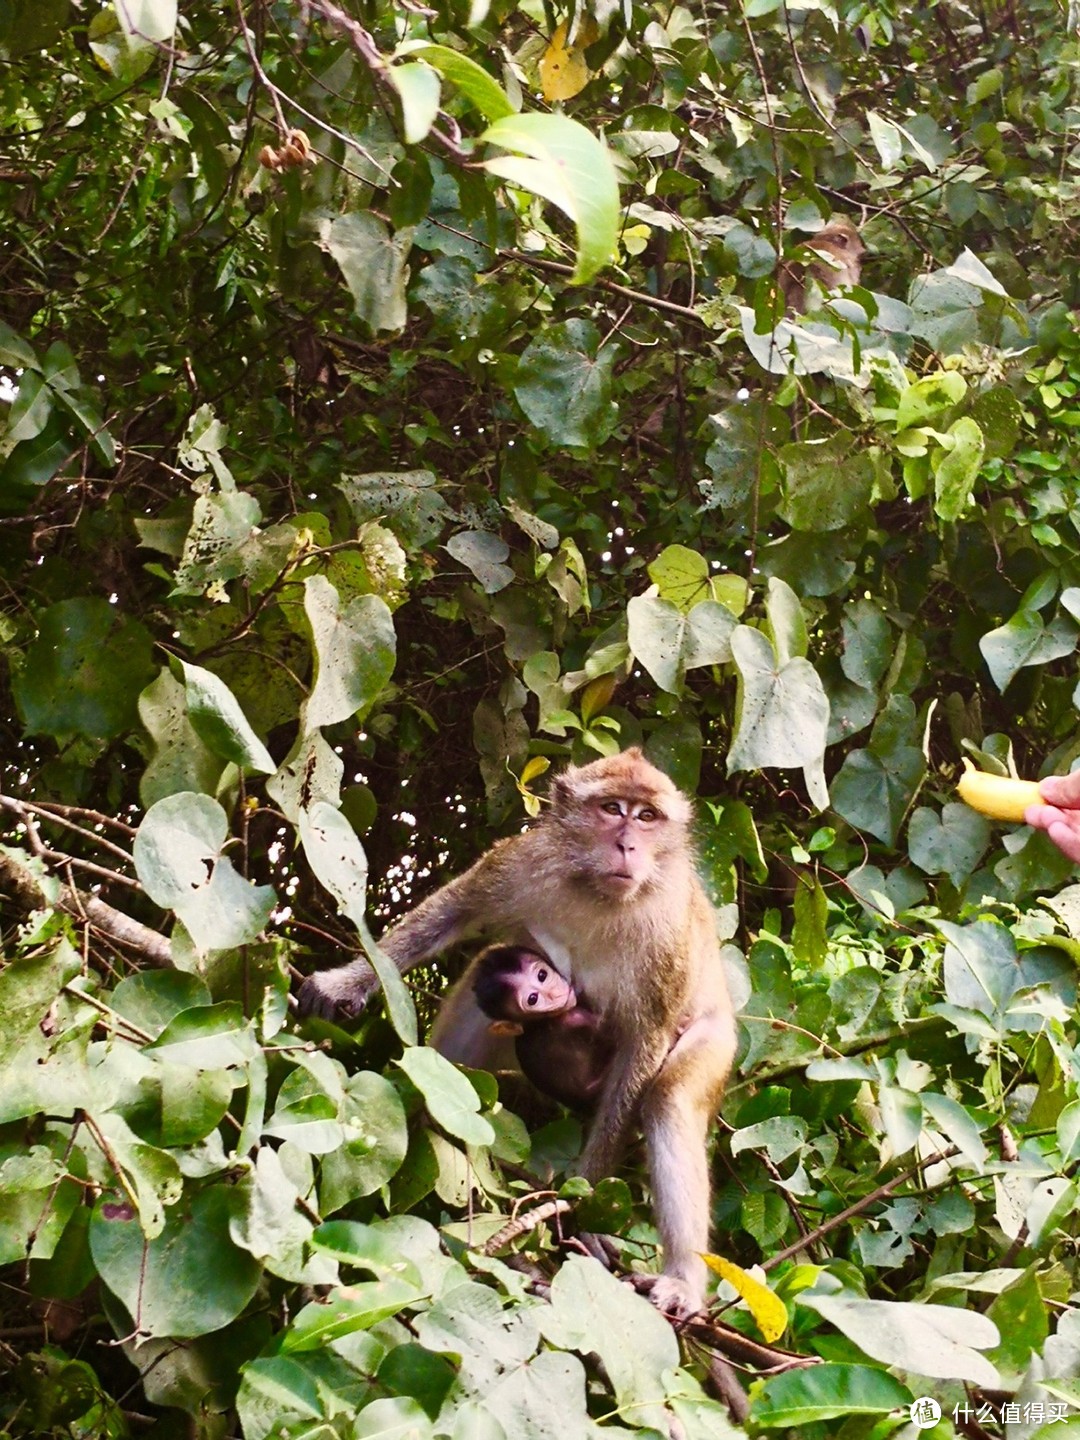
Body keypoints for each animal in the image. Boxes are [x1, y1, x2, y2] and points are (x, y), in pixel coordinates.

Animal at [300, 748, 743, 1319]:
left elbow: (646, 1040)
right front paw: (344, 982)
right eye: (612, 808)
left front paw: (581, 1200)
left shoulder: (667, 940)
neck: (600, 894)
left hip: (717, 1040)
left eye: (647, 817)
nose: (627, 844)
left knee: (669, 1098)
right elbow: (455, 910)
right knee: (473, 1004)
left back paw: (682, 1280)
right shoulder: (527, 861)